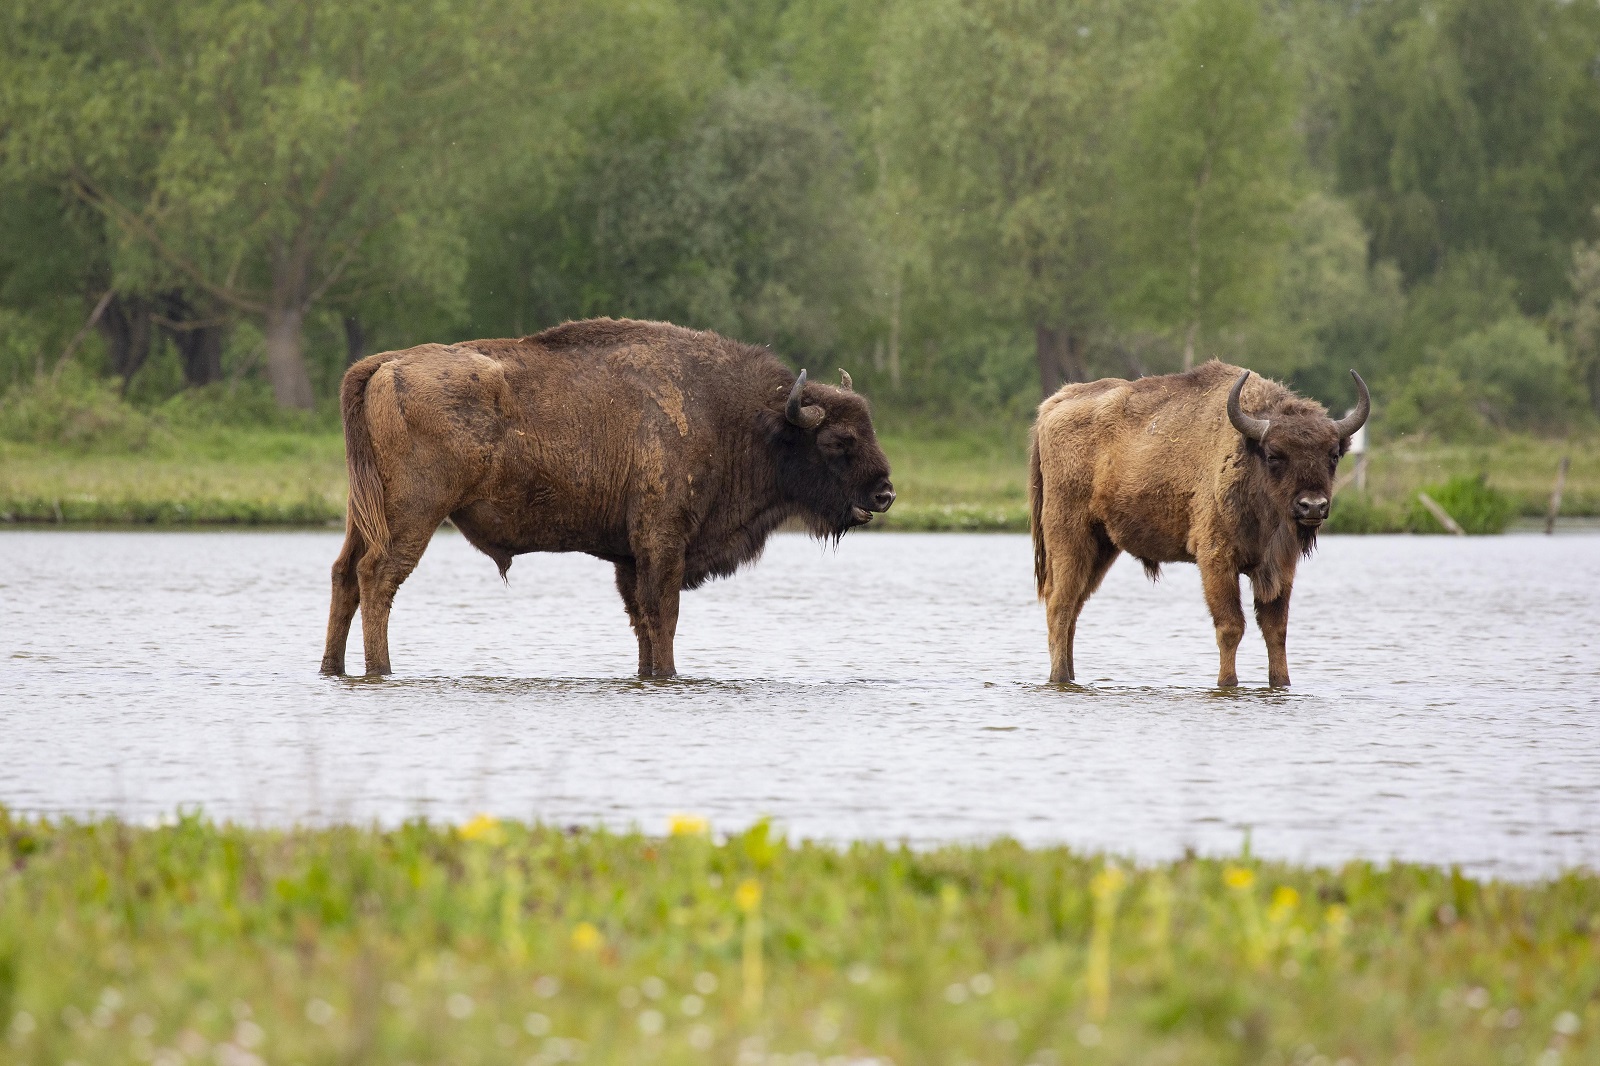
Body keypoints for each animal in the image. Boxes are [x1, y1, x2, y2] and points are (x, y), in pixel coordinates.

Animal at [321, 320, 902, 675]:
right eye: (839, 441)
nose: (885, 493)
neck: (739, 418)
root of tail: (385, 365)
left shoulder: (630, 556)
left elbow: (641, 620)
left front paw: (648, 672)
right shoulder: (662, 542)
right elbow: (663, 614)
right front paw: (668, 674)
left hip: (364, 512)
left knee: (344, 574)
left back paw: (333, 667)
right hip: (414, 513)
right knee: (378, 578)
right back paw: (381, 668)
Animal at [1030, 361, 1369, 685]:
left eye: (1333, 455)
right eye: (1274, 455)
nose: (1312, 505)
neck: (1247, 455)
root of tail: (1051, 406)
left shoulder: (1280, 566)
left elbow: (1276, 629)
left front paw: (1282, 682)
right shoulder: (1217, 560)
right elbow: (1231, 626)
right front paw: (1227, 682)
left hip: (1102, 547)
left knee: (1074, 608)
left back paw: (1070, 674)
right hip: (1070, 537)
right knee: (1060, 606)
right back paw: (1060, 676)